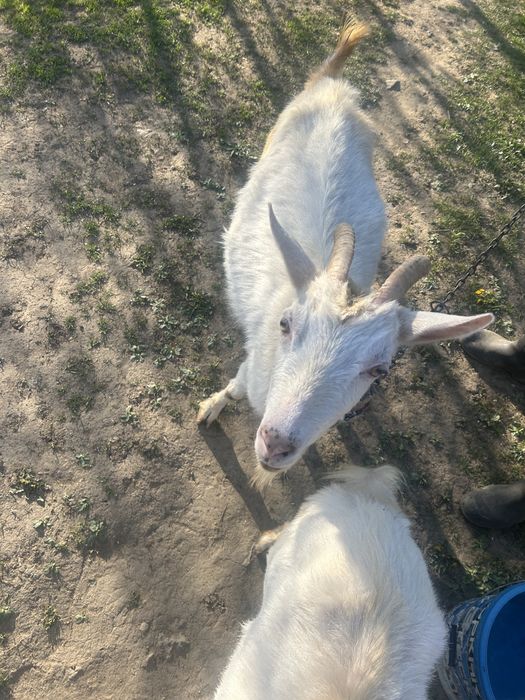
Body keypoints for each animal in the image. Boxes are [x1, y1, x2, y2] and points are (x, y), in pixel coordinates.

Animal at [198, 18, 493, 485]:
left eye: (379, 369)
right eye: (285, 324)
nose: (276, 443)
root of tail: (333, 84)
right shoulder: (254, 366)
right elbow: (237, 386)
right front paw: (212, 407)